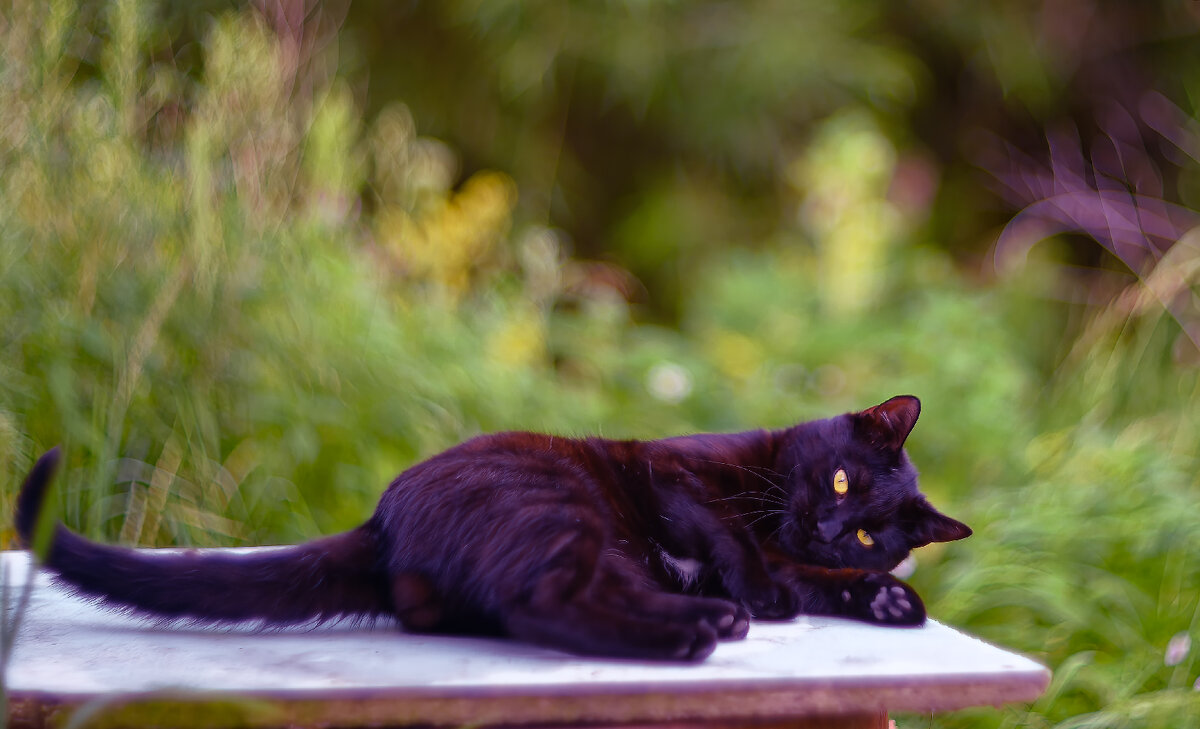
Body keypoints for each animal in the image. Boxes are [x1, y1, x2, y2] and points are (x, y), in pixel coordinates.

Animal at [14, 395, 969, 661]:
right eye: (840, 477)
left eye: (869, 532)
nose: (830, 522)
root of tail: (384, 518)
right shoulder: (681, 477)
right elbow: (734, 539)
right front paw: (765, 590)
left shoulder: (798, 556)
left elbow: (816, 582)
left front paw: (887, 597)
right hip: (561, 503)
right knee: (544, 604)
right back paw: (699, 629)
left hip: (593, 541)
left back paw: (709, 618)